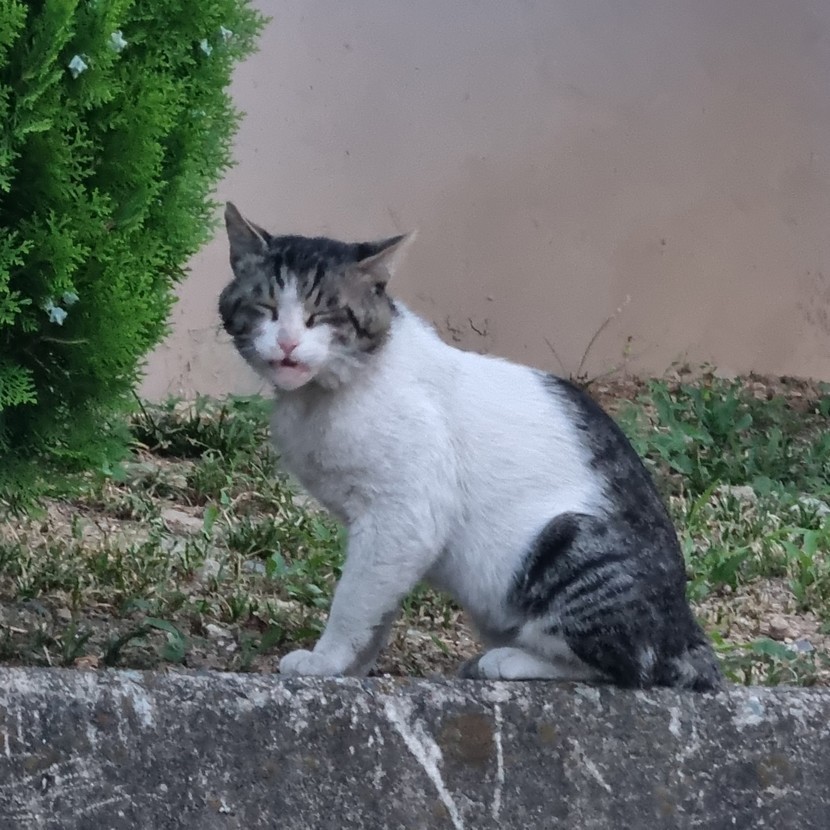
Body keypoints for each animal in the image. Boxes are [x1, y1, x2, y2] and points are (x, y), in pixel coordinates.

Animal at [218, 202, 723, 690]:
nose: (287, 343)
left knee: (631, 665)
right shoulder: (386, 540)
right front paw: (354, 668)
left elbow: (352, 602)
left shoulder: (402, 518)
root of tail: (687, 635)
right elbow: (376, 607)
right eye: (265, 306)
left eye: (321, 315)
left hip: (565, 542)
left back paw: (506, 661)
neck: (325, 394)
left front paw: (325, 661)